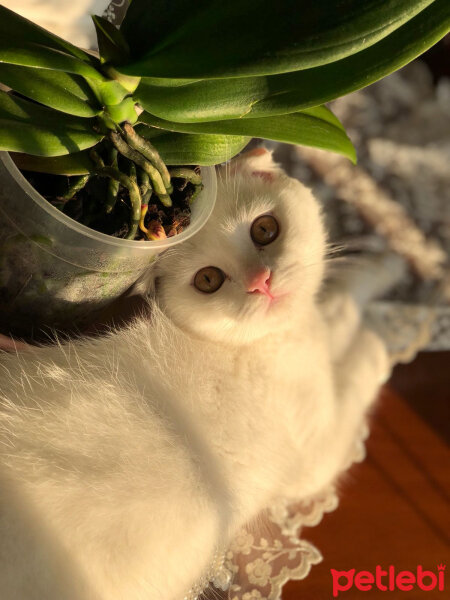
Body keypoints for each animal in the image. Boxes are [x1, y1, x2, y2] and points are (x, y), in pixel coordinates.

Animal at [0, 151, 390, 600]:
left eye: (265, 229)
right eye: (208, 280)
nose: (261, 282)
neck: (266, 341)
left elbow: (337, 309)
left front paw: (384, 269)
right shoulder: (315, 451)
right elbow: (353, 369)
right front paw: (378, 339)